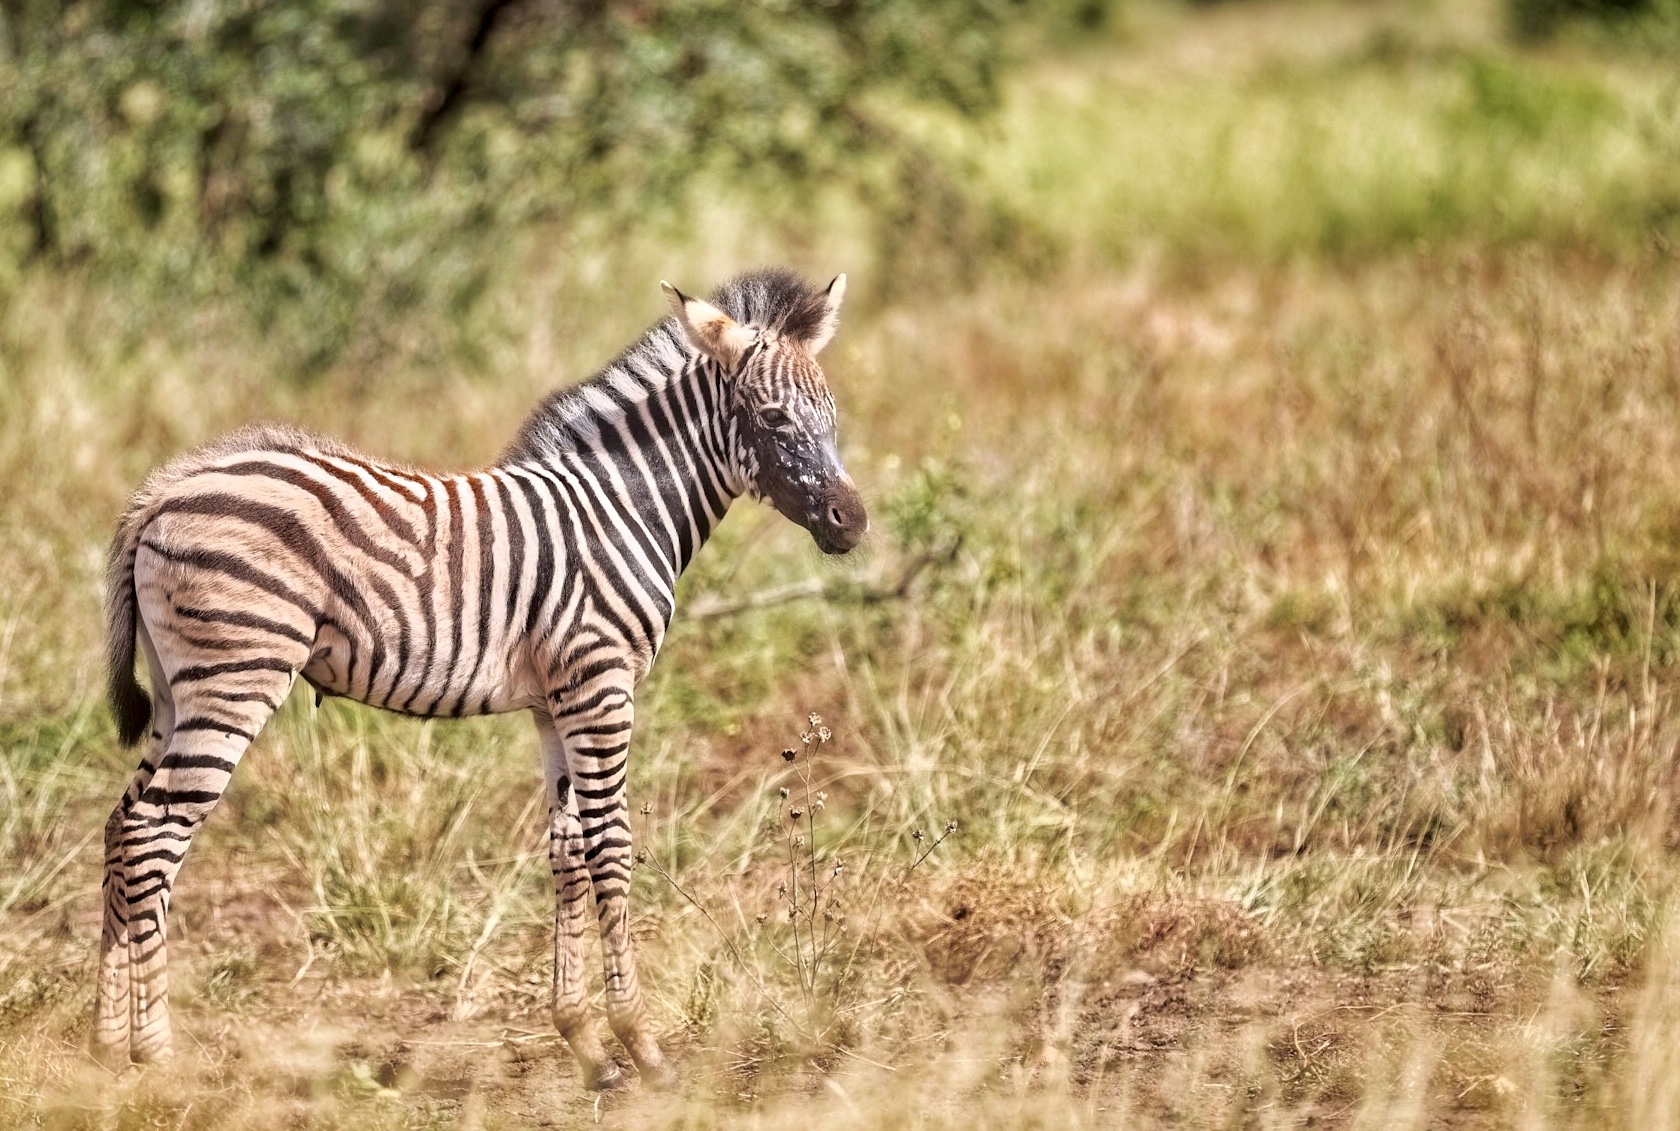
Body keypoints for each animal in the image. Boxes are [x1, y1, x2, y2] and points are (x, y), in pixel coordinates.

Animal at [94, 268, 867, 1090]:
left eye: (833, 415)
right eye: (774, 418)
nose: (852, 522)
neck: (622, 509)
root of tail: (164, 488)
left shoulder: (557, 701)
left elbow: (568, 849)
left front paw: (586, 1044)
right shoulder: (601, 683)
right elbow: (612, 845)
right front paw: (643, 1045)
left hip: (178, 689)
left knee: (120, 826)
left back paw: (106, 1045)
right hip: (235, 677)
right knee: (153, 834)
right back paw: (156, 1053)